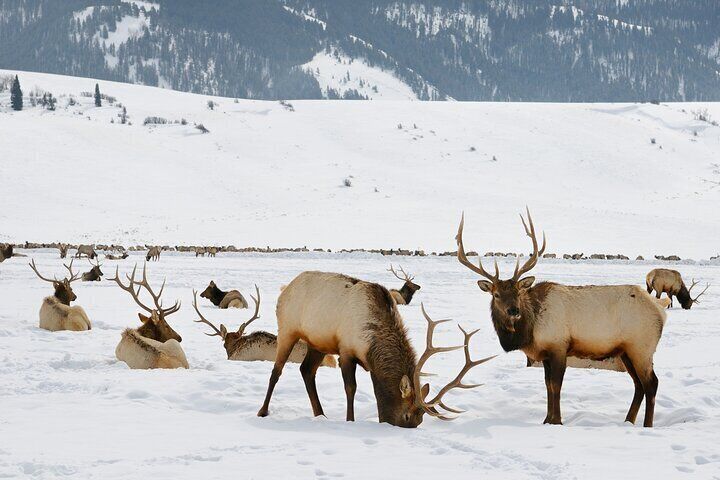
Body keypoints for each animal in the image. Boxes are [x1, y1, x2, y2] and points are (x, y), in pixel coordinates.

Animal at [256, 271, 494, 427]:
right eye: (407, 416)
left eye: (420, 420)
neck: (370, 343)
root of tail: (285, 288)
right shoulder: (346, 350)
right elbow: (350, 388)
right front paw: (350, 420)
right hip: (287, 329)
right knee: (276, 371)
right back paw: (263, 411)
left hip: (318, 343)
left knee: (306, 371)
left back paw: (320, 414)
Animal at [456, 208, 667, 427]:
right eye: (496, 294)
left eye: (518, 292)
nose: (514, 311)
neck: (529, 332)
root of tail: (661, 310)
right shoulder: (545, 354)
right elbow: (548, 385)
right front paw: (547, 419)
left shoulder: (558, 346)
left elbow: (555, 385)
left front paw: (556, 421)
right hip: (626, 351)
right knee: (638, 385)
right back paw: (628, 421)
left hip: (642, 347)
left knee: (651, 383)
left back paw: (647, 425)